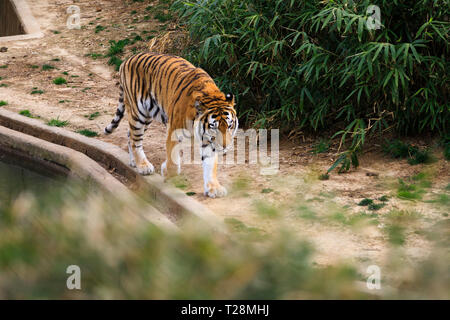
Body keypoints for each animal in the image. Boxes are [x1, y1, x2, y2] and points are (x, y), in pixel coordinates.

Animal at [104, 52, 239, 198]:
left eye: (230, 126)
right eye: (214, 127)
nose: (225, 146)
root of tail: (127, 60)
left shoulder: (208, 140)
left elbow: (210, 164)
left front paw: (214, 188)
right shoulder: (174, 130)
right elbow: (172, 156)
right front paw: (168, 173)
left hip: (147, 117)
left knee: (130, 135)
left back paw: (134, 161)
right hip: (138, 113)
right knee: (136, 140)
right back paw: (143, 166)